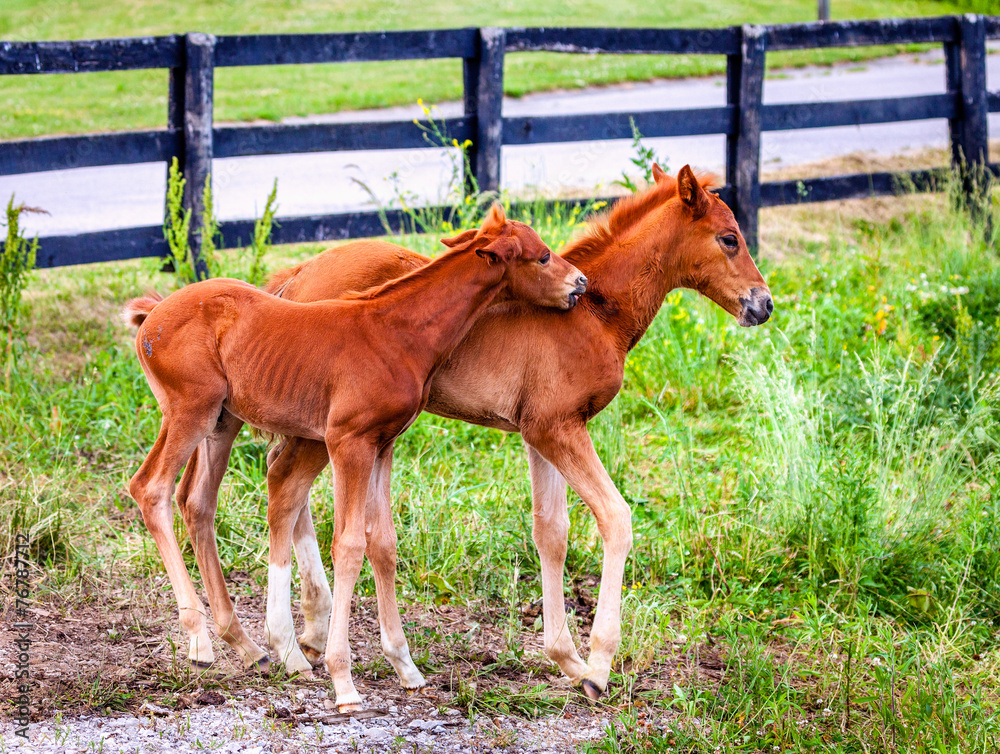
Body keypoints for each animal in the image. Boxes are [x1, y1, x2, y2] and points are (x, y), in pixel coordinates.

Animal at [123, 204, 584, 704]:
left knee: (197, 502)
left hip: (221, 422)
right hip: (190, 410)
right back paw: (200, 640)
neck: (396, 331)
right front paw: (343, 681)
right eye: (543, 256)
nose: (579, 283)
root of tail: (153, 316)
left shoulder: (383, 445)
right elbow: (347, 545)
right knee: (151, 488)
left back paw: (250, 647)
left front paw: (405, 667)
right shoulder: (349, 442)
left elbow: (382, 542)